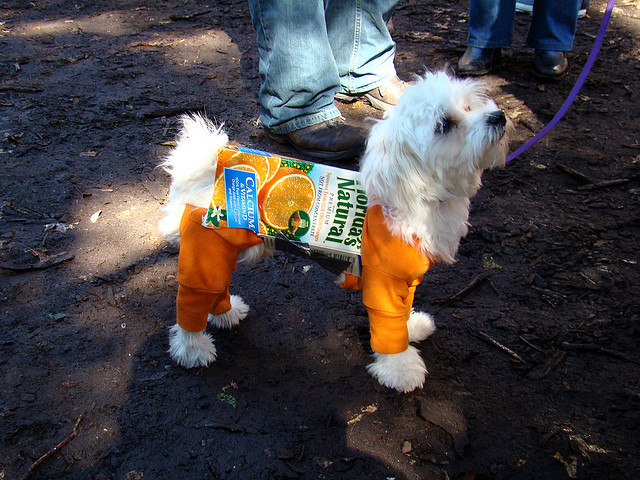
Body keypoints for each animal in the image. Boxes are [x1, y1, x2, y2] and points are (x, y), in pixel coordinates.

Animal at [159, 71, 510, 394]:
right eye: (445, 125)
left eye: (469, 105)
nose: (498, 116)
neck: (417, 196)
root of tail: (207, 166)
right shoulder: (383, 283)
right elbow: (389, 327)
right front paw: (401, 369)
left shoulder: (405, 281)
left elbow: (403, 313)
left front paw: (413, 327)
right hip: (205, 253)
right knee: (191, 302)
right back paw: (193, 349)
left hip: (221, 251)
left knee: (213, 290)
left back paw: (227, 313)